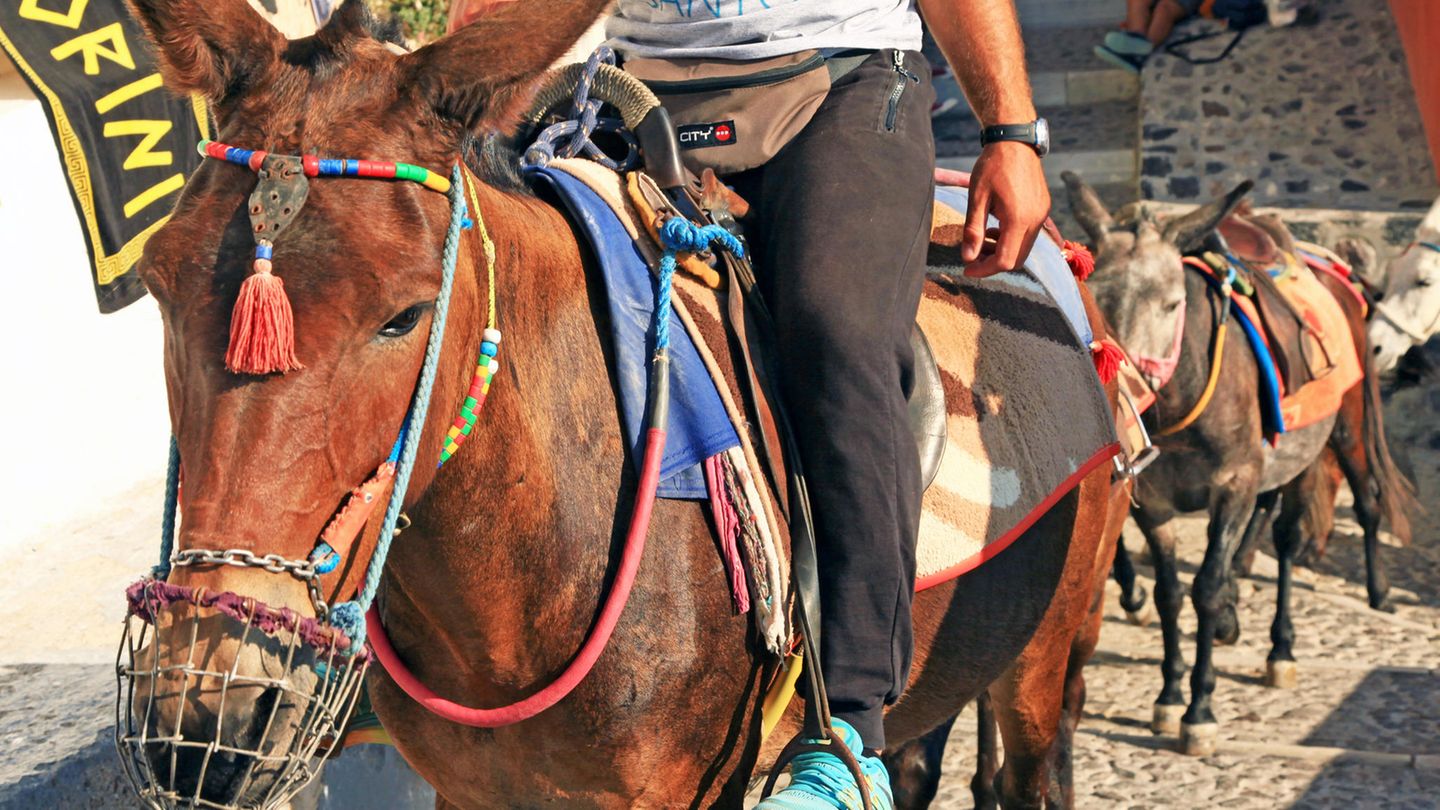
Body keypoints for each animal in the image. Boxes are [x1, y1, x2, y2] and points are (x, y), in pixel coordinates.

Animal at [1060, 172, 1389, 755]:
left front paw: (1200, 709)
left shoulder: (1234, 486)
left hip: (1341, 432)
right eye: (1093, 296)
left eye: (1172, 305)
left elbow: (1206, 588)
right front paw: (1169, 695)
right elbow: (1170, 594)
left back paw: (1293, 641)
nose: (1120, 398)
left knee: (1311, 527)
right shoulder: (1156, 504)